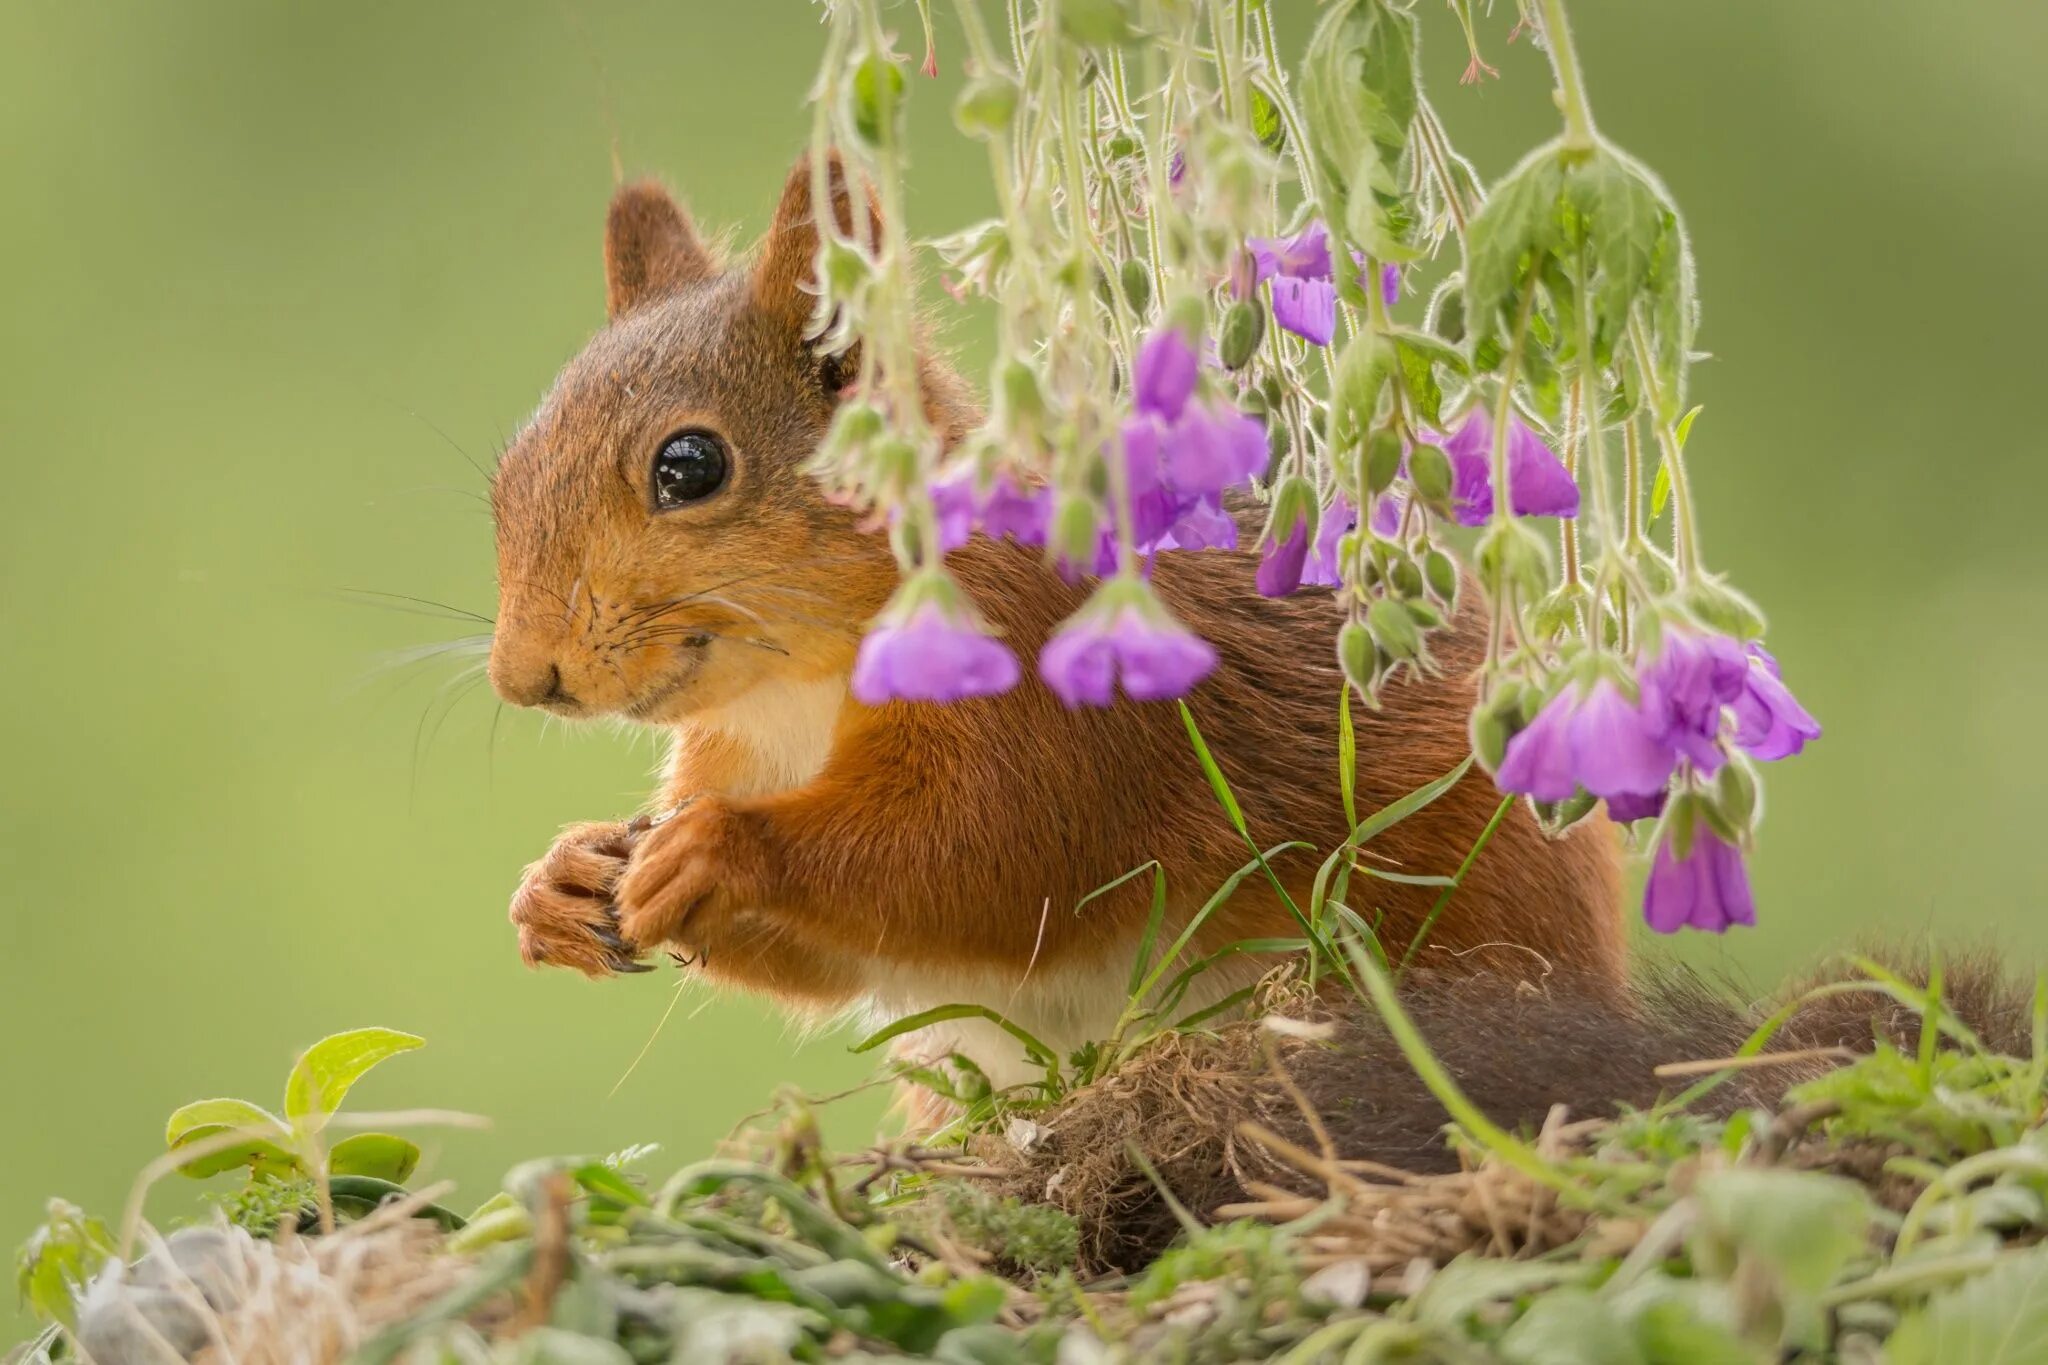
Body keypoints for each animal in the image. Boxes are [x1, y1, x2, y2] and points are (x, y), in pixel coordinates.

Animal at [487, 160, 1622, 1088]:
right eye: (506, 476)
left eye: (689, 466)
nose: (521, 677)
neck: (792, 688)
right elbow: (844, 956)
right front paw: (559, 883)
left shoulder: (1045, 684)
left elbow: (986, 859)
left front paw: (717, 848)